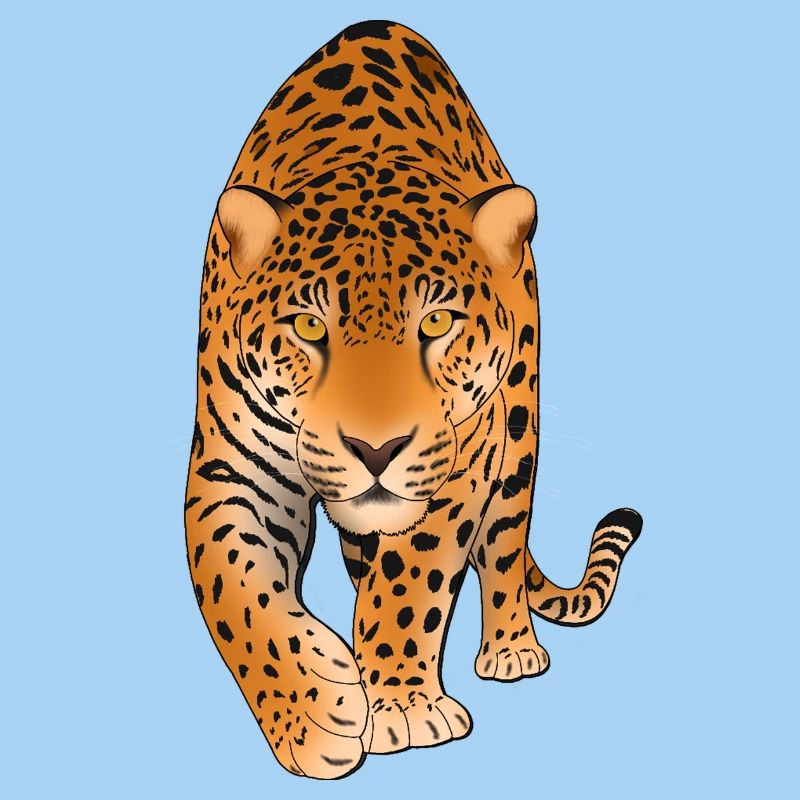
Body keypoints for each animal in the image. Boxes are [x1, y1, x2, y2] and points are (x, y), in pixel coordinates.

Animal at [184, 19, 642, 780]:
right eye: (310, 327)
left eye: (436, 322)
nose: (376, 450)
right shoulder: (232, 467)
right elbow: (233, 587)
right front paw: (314, 712)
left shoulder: (458, 466)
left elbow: (410, 581)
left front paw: (398, 704)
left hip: (517, 430)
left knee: (505, 545)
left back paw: (511, 647)